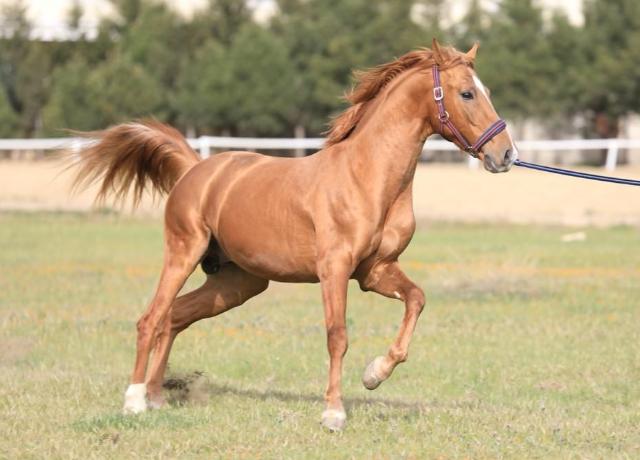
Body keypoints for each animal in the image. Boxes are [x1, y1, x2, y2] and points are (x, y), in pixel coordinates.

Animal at [72, 40, 516, 432]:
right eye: (467, 93)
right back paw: (134, 401)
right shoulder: (334, 269)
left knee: (174, 316)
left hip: (237, 282)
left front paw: (374, 374)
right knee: (150, 319)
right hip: (183, 253)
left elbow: (416, 300)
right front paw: (334, 414)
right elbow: (337, 336)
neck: (366, 176)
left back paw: (156, 397)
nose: (505, 154)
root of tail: (195, 169)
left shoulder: (375, 271)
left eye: (487, 91)